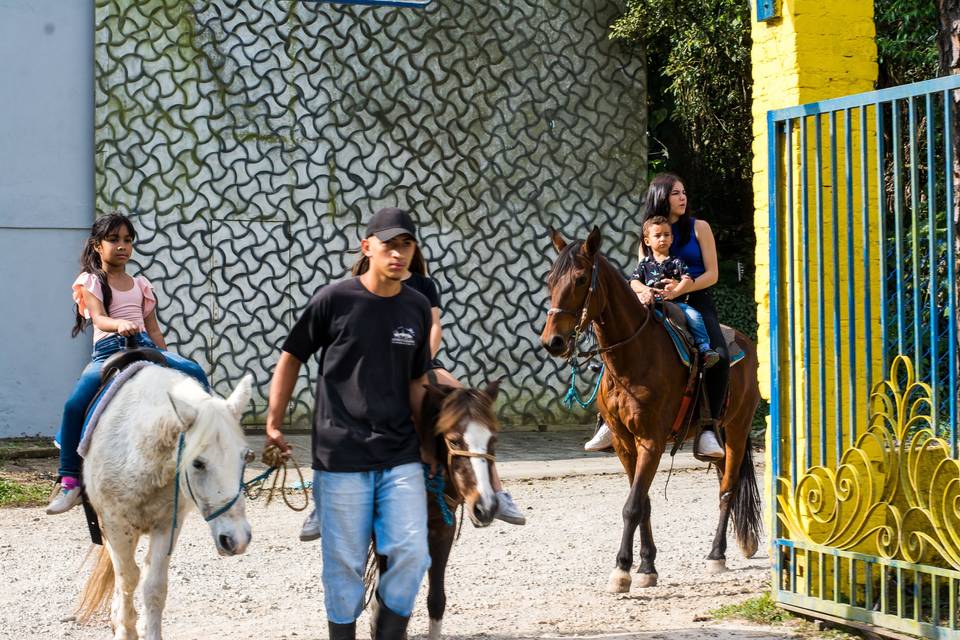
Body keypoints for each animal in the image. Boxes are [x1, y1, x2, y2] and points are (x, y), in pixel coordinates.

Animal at [78, 364, 255, 640]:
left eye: (246, 456)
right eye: (198, 463)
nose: (237, 539)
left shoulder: (167, 525)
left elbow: (154, 585)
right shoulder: (116, 525)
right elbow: (128, 578)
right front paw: (125, 629)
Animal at [540, 229, 756, 592]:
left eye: (581, 278)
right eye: (549, 280)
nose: (552, 341)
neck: (632, 357)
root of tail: (746, 342)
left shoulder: (651, 441)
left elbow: (632, 506)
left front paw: (622, 570)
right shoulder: (624, 443)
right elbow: (643, 503)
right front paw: (646, 566)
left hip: (739, 429)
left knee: (727, 489)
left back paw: (716, 555)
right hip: (720, 439)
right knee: (723, 481)